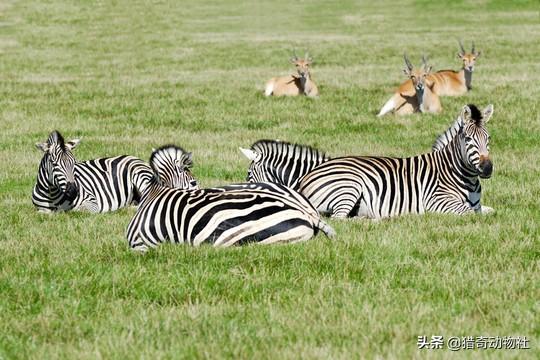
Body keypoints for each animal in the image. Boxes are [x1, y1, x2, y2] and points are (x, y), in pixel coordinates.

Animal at [243, 102, 496, 218]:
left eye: (489, 138)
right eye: (468, 139)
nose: (487, 168)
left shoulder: (477, 205)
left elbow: (489, 211)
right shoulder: (437, 202)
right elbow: (471, 214)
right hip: (348, 187)